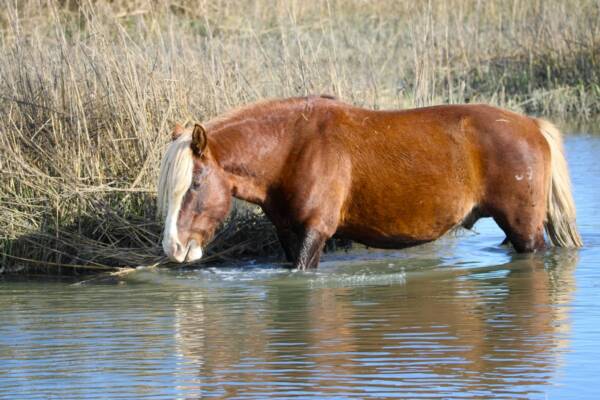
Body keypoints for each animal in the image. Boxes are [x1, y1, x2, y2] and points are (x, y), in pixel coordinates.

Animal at [157, 95, 584, 268]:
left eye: (194, 185)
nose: (173, 248)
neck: (293, 147)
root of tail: (532, 125)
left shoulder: (315, 233)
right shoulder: (288, 234)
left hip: (525, 229)